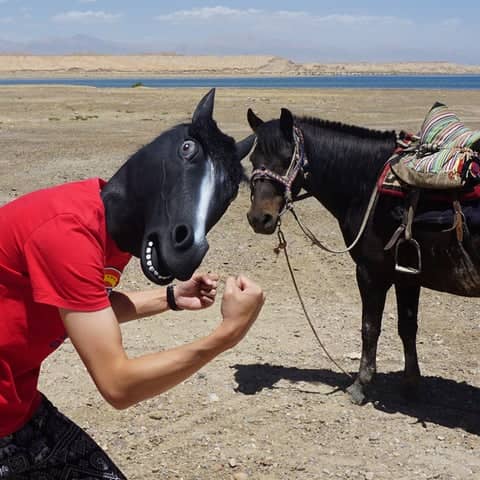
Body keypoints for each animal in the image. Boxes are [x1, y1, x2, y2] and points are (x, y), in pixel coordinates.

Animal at [246, 106, 480, 404]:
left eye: (287, 158)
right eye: (253, 158)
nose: (259, 218)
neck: (369, 184)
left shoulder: (371, 271)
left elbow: (370, 327)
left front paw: (360, 384)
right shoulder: (406, 274)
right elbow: (407, 327)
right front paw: (411, 385)